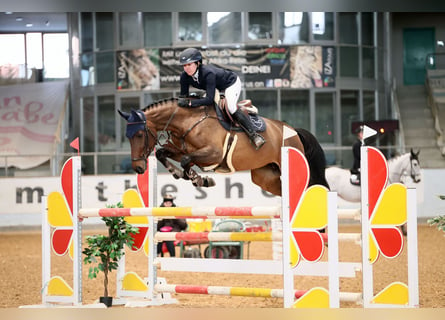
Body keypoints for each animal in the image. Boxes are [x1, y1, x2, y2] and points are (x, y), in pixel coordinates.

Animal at [116, 96, 328, 196]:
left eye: (139, 134)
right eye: (127, 137)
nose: (138, 168)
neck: (188, 121)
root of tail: (293, 130)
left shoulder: (214, 154)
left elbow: (186, 161)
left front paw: (200, 180)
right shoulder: (181, 150)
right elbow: (163, 153)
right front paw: (182, 174)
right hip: (265, 176)